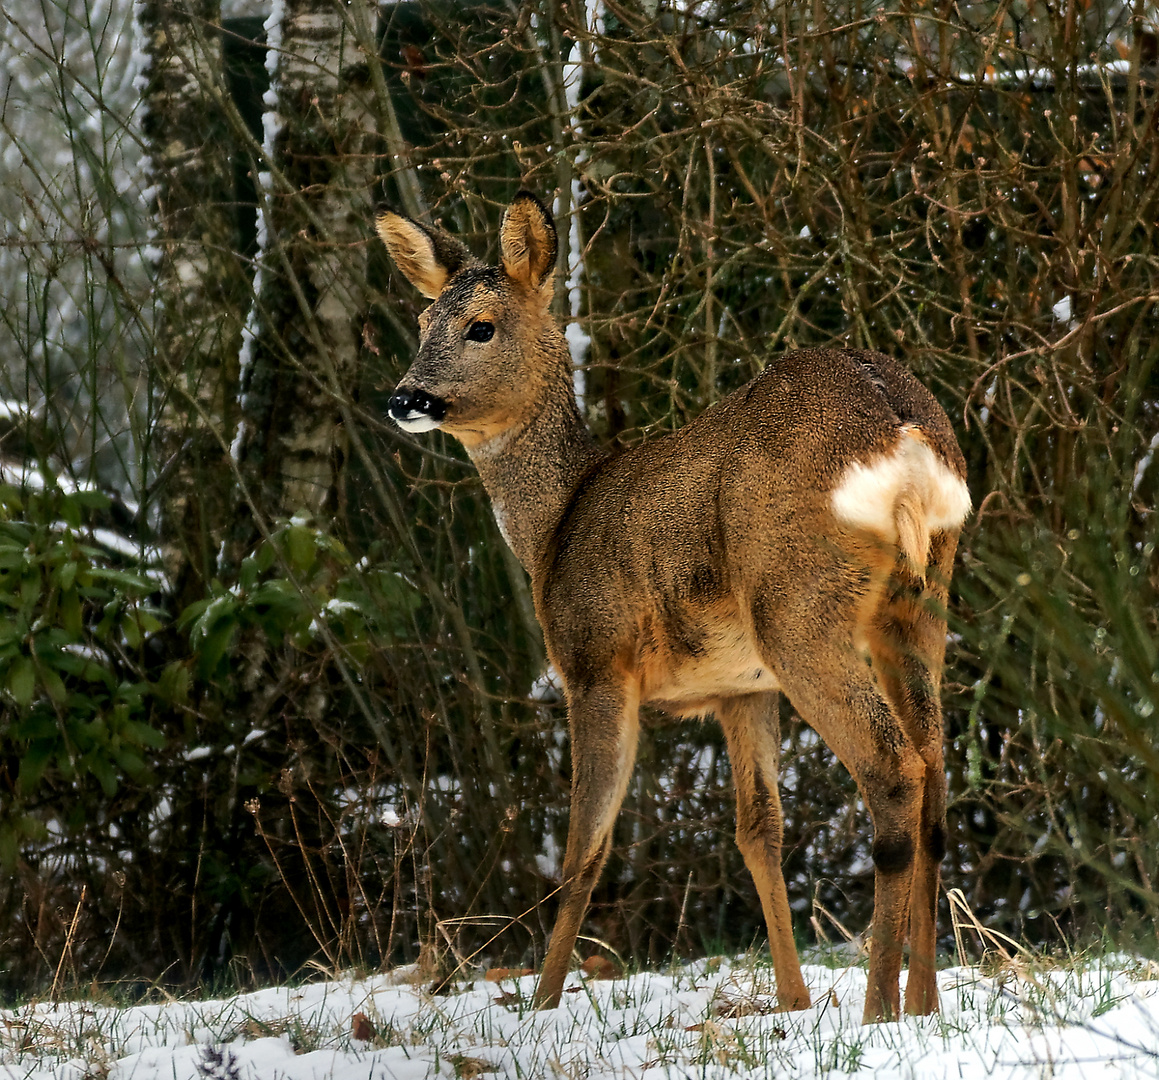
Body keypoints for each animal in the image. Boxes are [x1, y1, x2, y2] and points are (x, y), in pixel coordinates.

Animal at [377, 187, 968, 1019]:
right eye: (424, 320)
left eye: (480, 325)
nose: (405, 398)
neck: (556, 526)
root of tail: (901, 431)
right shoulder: (739, 688)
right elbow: (758, 831)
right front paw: (790, 999)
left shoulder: (594, 659)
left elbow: (583, 850)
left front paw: (543, 1005)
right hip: (917, 606)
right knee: (936, 780)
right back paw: (921, 1003)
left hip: (797, 608)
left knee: (893, 769)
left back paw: (879, 1004)